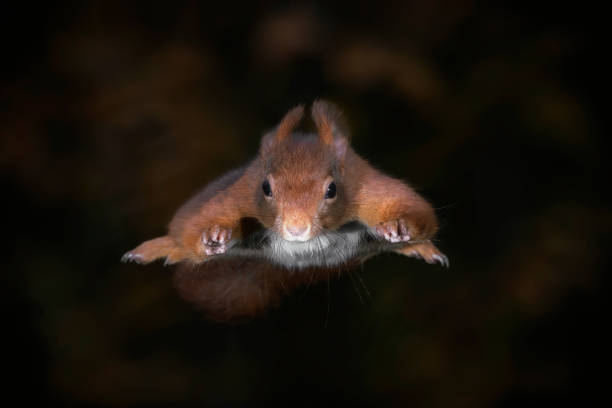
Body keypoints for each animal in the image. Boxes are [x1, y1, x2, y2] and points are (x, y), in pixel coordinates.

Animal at [122, 100, 448, 320]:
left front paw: (398, 226)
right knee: (180, 240)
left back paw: (419, 248)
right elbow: (203, 223)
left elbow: (412, 208)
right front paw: (213, 234)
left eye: (332, 190)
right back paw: (158, 248)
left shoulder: (368, 190)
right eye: (266, 187)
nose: (296, 229)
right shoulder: (237, 197)